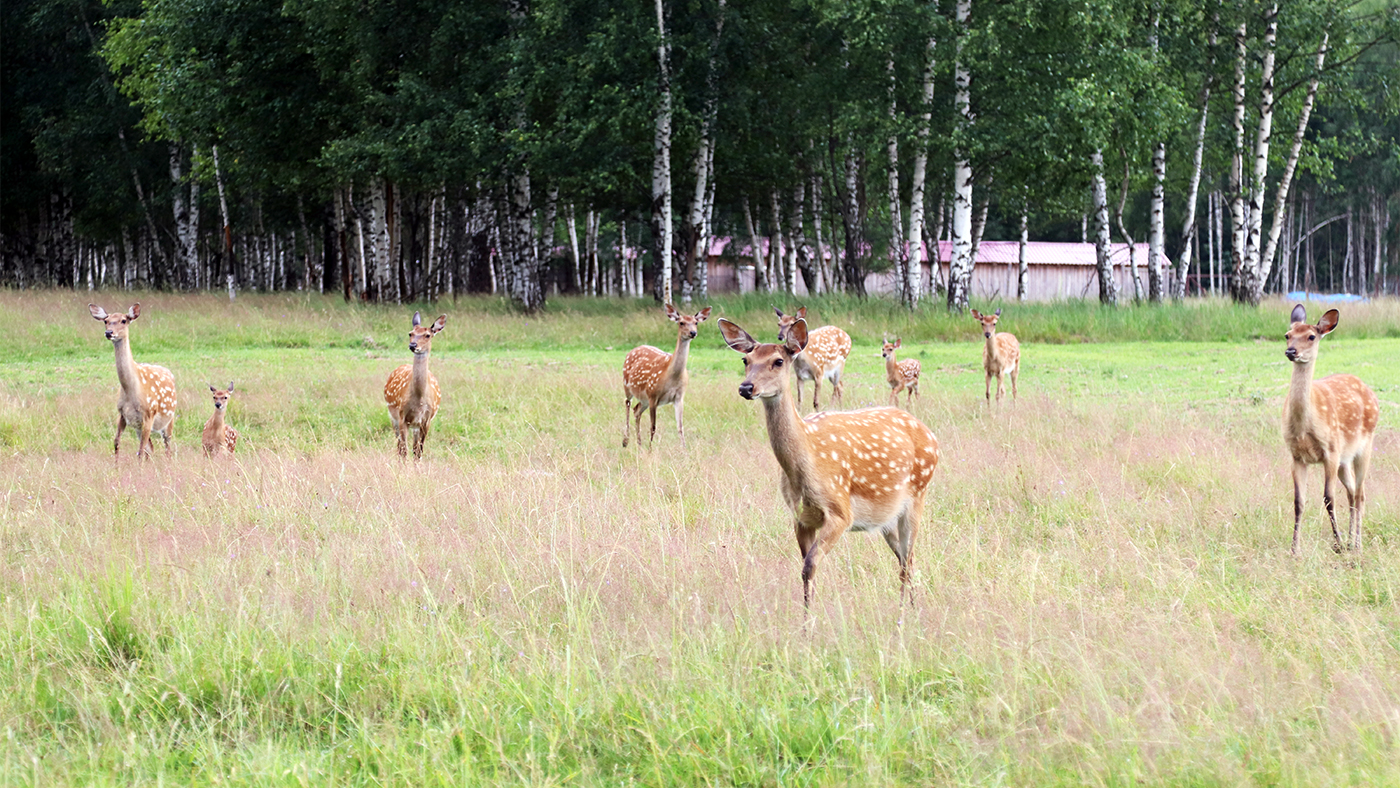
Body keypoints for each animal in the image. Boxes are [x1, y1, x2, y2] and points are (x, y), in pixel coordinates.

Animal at [88, 303, 177, 461]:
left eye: (124, 320)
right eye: (106, 321)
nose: (109, 332)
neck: (132, 391)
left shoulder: (149, 414)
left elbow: (140, 450)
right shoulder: (123, 414)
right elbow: (117, 442)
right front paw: (116, 466)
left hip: (168, 419)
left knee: (167, 447)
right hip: (139, 427)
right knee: (151, 448)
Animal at [386, 312, 445, 459]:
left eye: (427, 335)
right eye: (410, 333)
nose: (413, 345)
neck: (419, 400)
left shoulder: (426, 420)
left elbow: (418, 452)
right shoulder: (402, 417)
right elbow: (403, 450)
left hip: (415, 425)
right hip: (393, 416)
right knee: (399, 446)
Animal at [624, 303, 711, 447]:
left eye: (696, 322)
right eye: (681, 322)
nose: (693, 332)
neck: (671, 376)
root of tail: (632, 350)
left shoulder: (679, 397)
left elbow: (680, 427)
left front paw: (685, 449)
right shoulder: (653, 395)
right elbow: (653, 427)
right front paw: (650, 449)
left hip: (644, 398)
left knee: (636, 410)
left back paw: (639, 444)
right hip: (627, 385)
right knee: (627, 403)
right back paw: (625, 441)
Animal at [722, 316, 940, 610]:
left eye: (778, 361)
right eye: (746, 360)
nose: (746, 387)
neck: (806, 467)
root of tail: (931, 437)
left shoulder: (840, 511)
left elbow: (810, 565)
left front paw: (810, 618)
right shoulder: (800, 516)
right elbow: (805, 567)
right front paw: (807, 614)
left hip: (918, 494)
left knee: (908, 560)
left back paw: (907, 612)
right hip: (887, 517)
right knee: (907, 561)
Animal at [1282, 302, 1377, 554]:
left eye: (1311, 336)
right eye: (1287, 335)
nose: (1291, 352)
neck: (1304, 427)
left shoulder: (1331, 450)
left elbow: (1328, 498)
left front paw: (1339, 543)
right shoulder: (1296, 455)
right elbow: (1298, 501)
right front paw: (1294, 549)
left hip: (1364, 446)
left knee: (1360, 493)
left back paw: (1356, 544)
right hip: (1345, 460)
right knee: (1352, 493)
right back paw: (1353, 540)